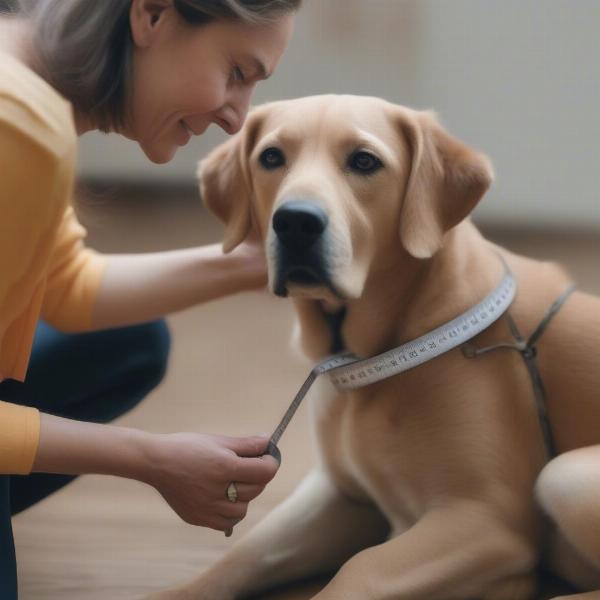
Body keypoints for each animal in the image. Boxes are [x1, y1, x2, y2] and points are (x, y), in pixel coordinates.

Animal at [152, 95, 600, 600]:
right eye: (271, 157)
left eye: (364, 161)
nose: (295, 221)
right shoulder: (341, 493)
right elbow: (246, 553)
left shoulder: (487, 519)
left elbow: (358, 569)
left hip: (565, 475)